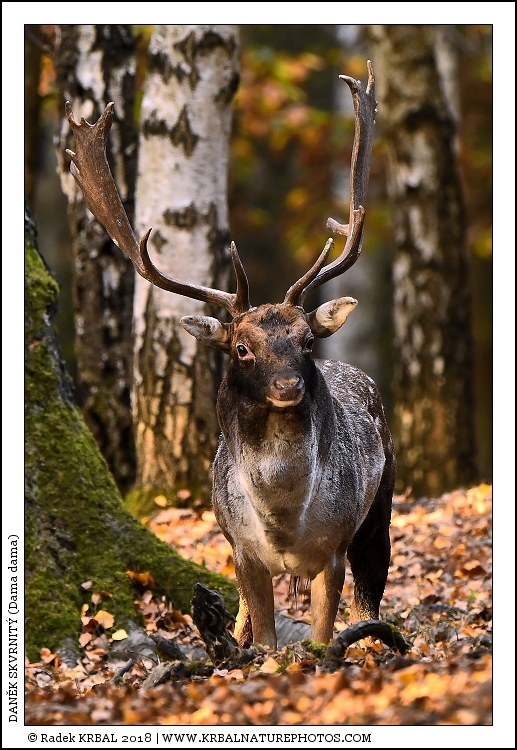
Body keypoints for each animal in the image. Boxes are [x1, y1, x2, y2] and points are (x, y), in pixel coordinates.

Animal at [65, 60, 395, 649]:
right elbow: (262, 638)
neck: (284, 520)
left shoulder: (333, 548)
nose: (289, 386)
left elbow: (321, 634)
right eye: (242, 347)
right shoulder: (243, 551)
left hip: (380, 508)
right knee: (243, 614)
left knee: (371, 596)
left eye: (306, 339)